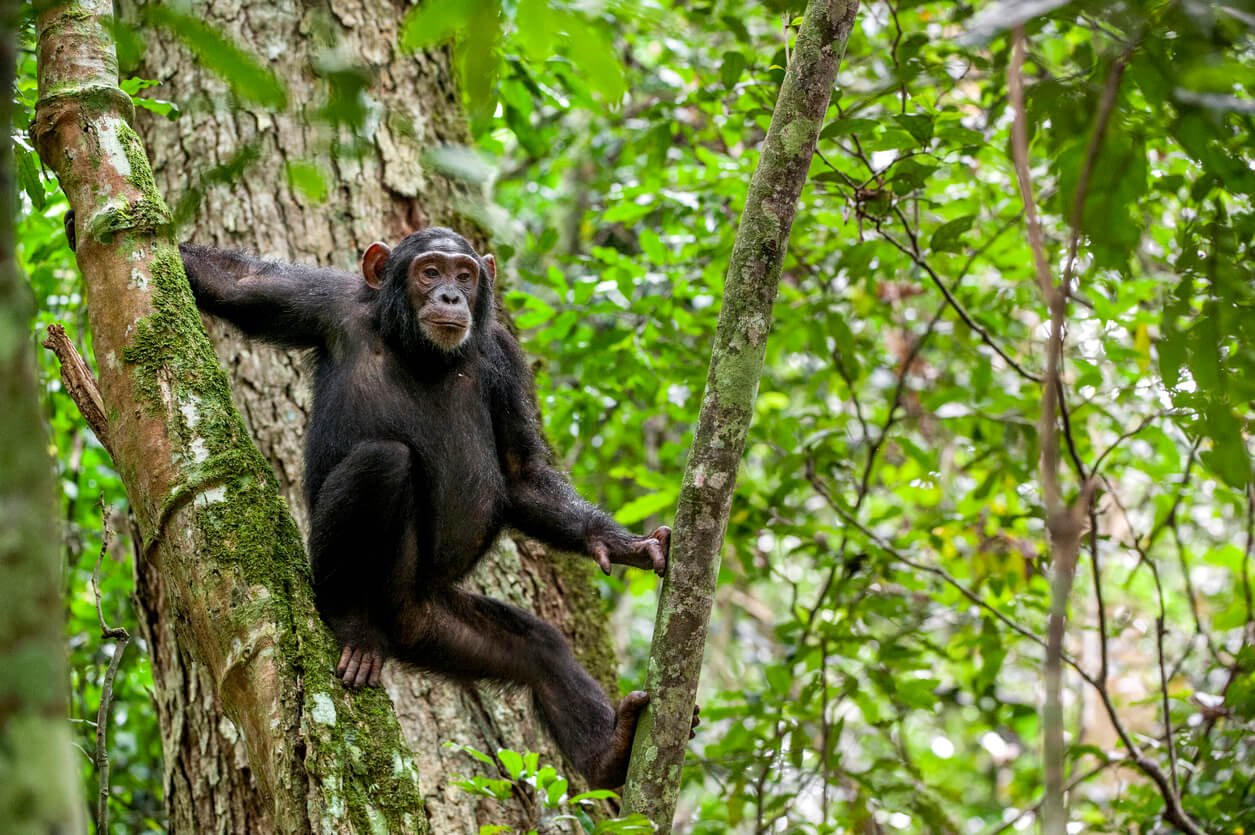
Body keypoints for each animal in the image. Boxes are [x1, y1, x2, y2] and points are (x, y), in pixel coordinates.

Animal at [166, 226, 682, 788]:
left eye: (465, 274)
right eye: (430, 272)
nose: (451, 296)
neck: (421, 351)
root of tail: (400, 627)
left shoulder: (505, 356)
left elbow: (521, 473)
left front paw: (619, 542)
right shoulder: (322, 301)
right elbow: (234, 282)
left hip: (437, 625)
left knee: (541, 652)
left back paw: (609, 752)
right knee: (383, 460)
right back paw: (352, 623)